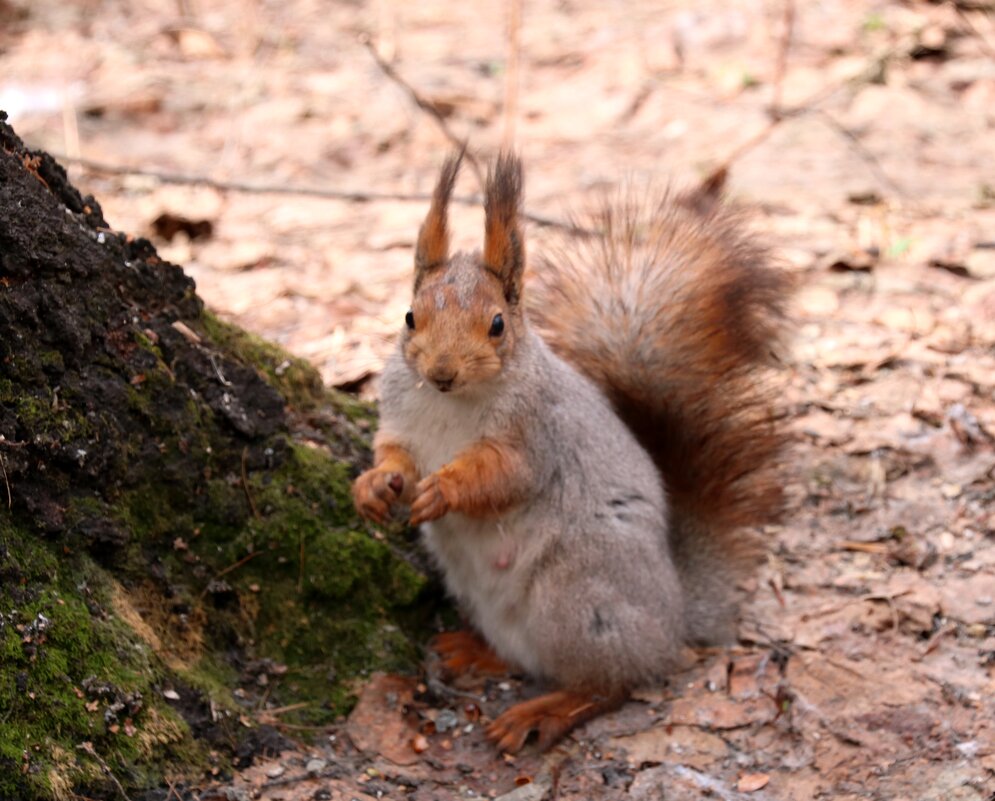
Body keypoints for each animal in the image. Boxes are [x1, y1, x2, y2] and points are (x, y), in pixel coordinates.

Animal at [354, 152, 788, 756]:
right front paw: (374, 485)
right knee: (526, 657)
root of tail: (675, 613)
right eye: (409, 317)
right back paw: (473, 651)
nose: (441, 372)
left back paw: (544, 713)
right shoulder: (399, 419)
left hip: (578, 598)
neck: (450, 405)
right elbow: (393, 453)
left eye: (497, 324)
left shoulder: (537, 437)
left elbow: (501, 477)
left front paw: (444, 488)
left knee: (614, 684)